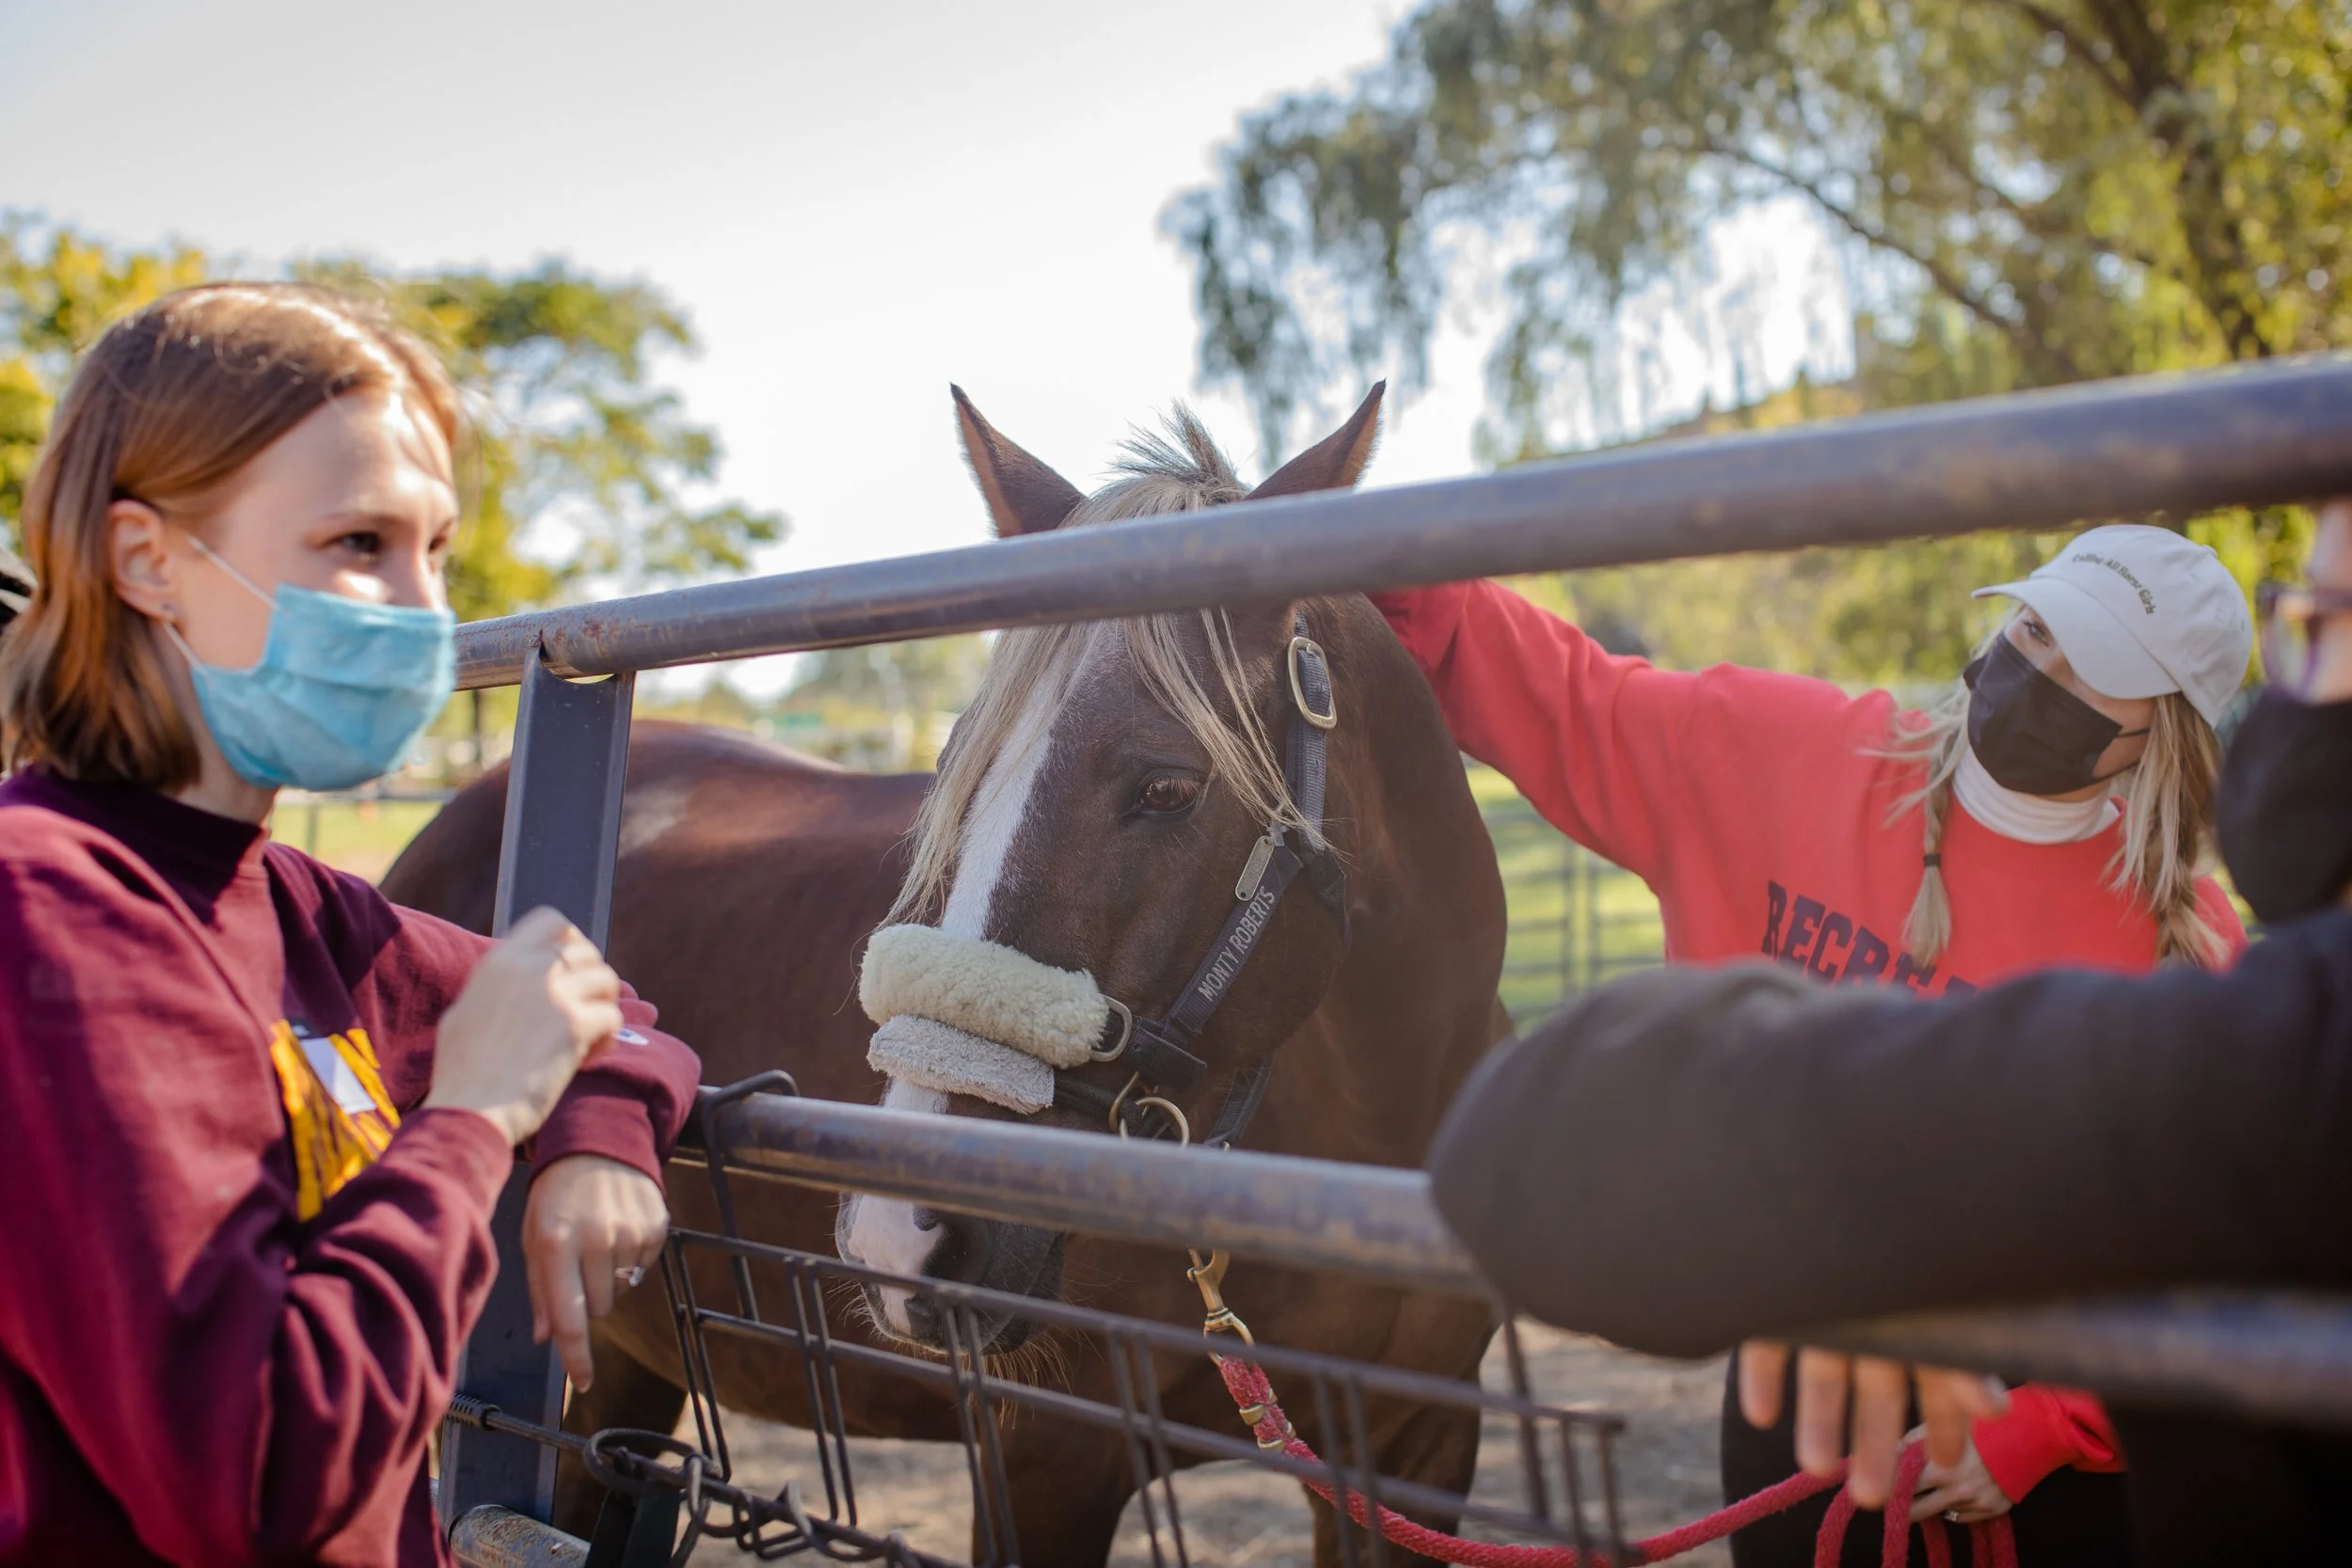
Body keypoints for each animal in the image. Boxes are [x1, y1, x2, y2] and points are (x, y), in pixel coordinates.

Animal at [383, 384, 1512, 1567]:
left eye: (1168, 786)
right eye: (958, 768)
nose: (902, 1233)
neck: (1370, 1141)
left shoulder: (1414, 1457)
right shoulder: (1044, 1462)